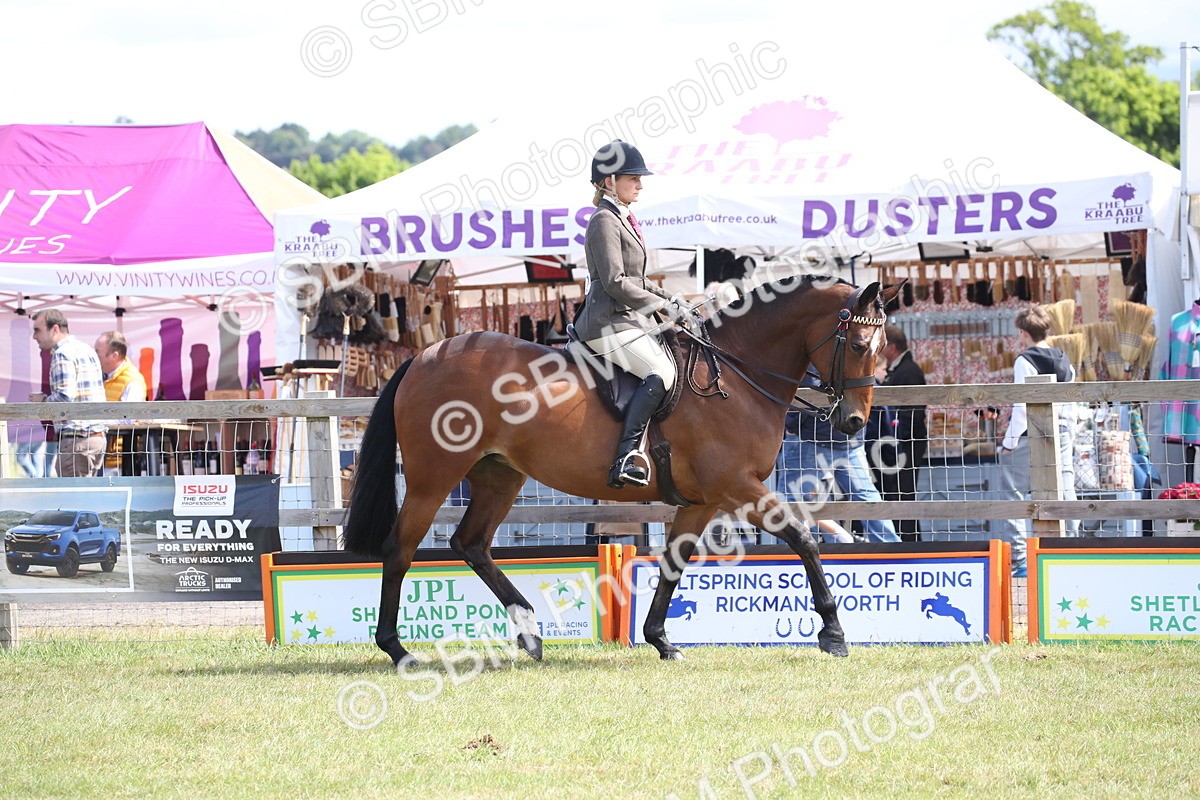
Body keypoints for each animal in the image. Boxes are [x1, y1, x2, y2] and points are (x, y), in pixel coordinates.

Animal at [344, 275, 901, 667]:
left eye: (881, 348)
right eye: (857, 346)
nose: (854, 422)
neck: (737, 374)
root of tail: (425, 356)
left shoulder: (704, 500)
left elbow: (674, 562)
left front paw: (660, 640)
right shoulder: (738, 486)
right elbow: (804, 538)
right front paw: (834, 634)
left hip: (498, 476)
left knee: (471, 544)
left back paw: (530, 633)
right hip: (433, 478)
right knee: (401, 550)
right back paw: (397, 649)